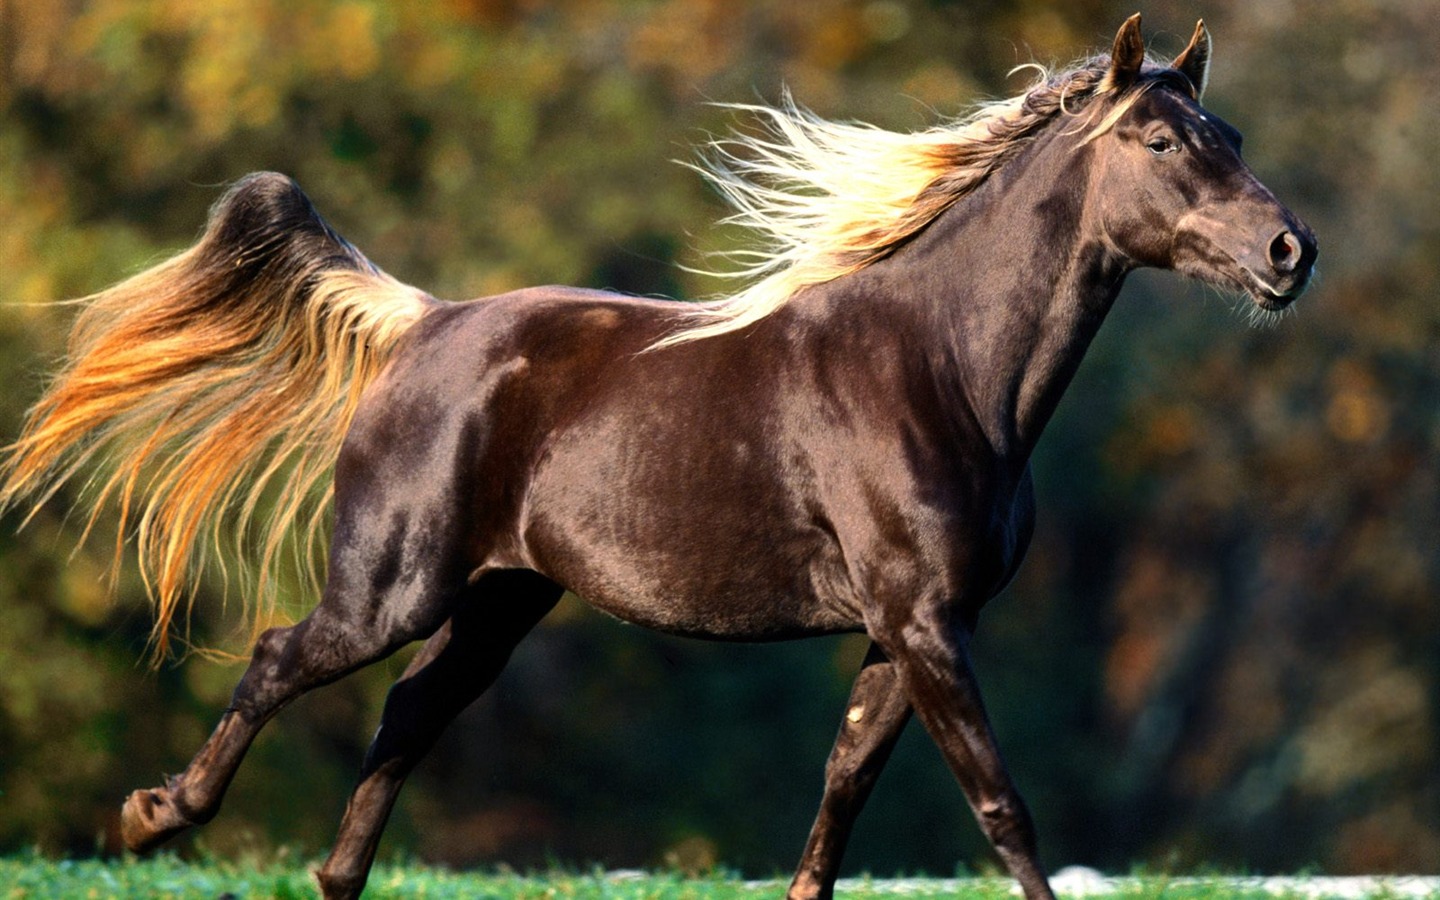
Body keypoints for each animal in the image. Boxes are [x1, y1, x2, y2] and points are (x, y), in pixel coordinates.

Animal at [0, 14, 1313, 898]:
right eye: (1159, 139)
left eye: (1232, 130)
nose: (1290, 251)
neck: (940, 367)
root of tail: (424, 323)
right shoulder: (925, 624)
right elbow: (1001, 807)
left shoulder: (911, 630)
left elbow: (842, 795)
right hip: (392, 588)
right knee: (284, 659)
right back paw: (156, 817)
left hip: (500, 599)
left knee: (410, 713)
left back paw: (326, 876)